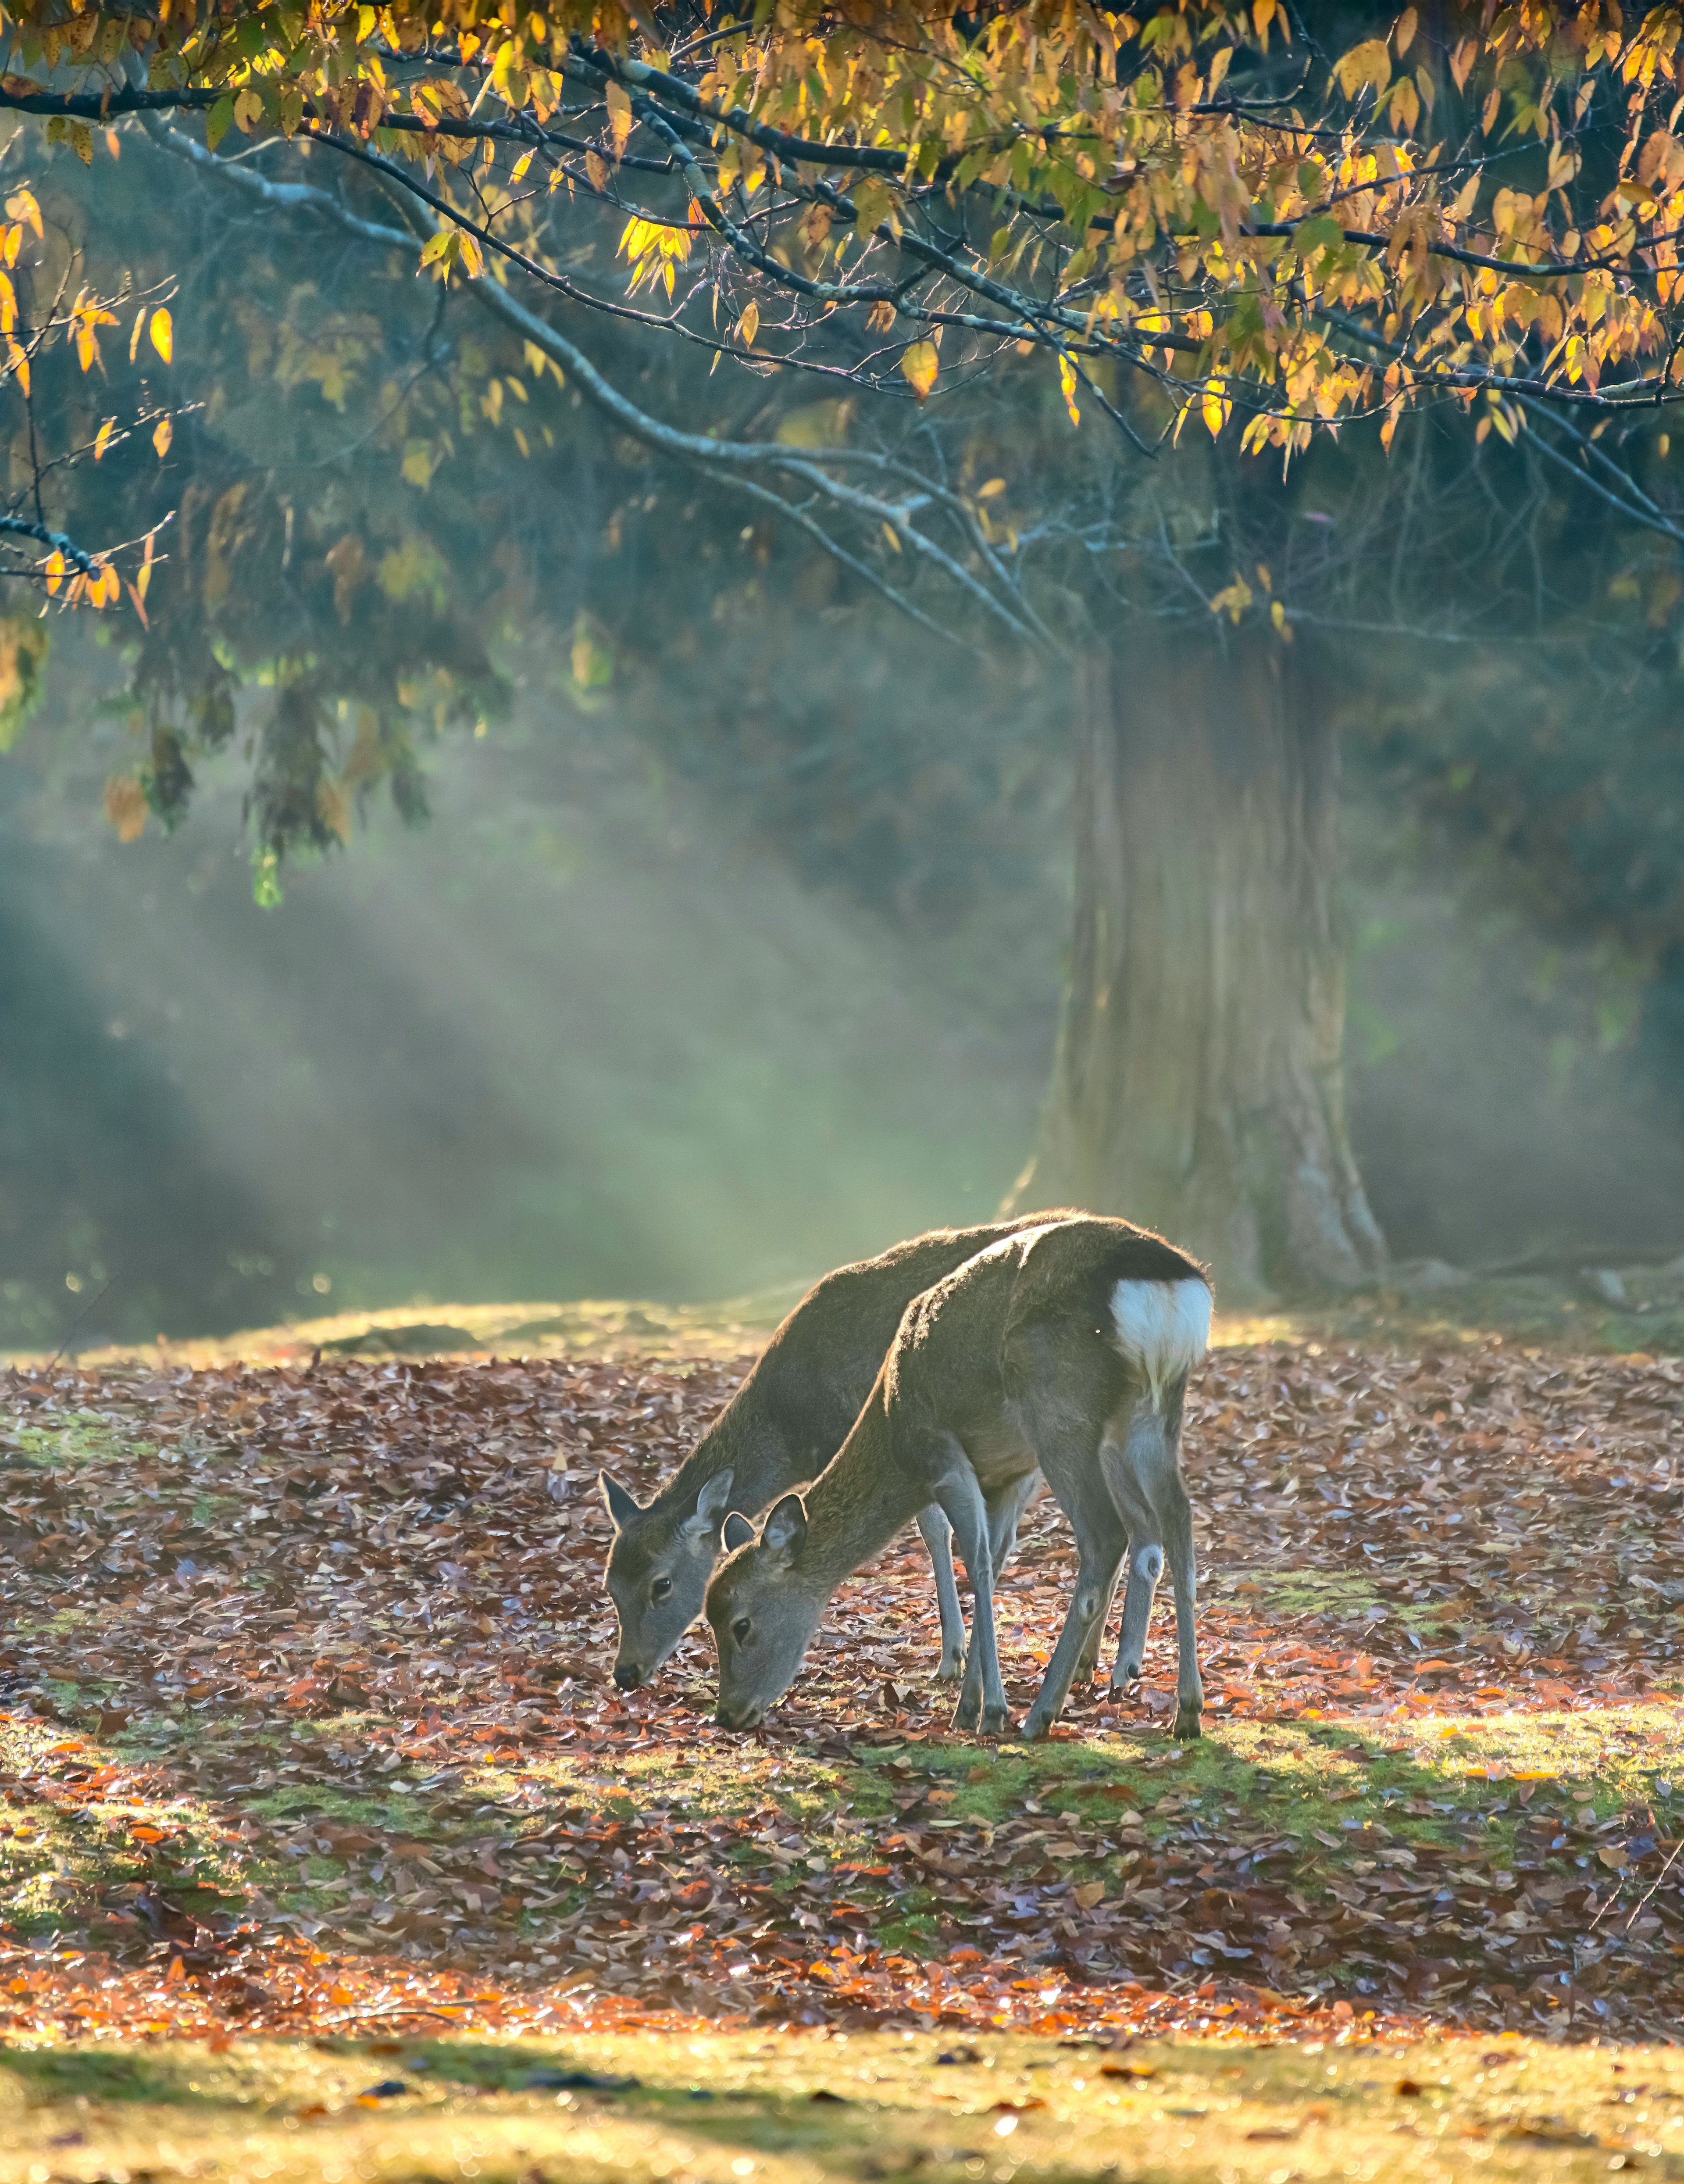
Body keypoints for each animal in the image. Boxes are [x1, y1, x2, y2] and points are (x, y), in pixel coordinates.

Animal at [707, 1223, 1214, 1747]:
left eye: (741, 1624)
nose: (726, 1714)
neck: (893, 1432)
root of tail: (1169, 1283)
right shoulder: (1008, 1474)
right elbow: (992, 1560)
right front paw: (974, 1702)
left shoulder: (945, 1459)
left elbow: (975, 1560)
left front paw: (982, 1708)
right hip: (1150, 1411)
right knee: (1179, 1516)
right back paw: (1187, 1709)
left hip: (1061, 1411)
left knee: (1107, 1535)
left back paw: (1042, 1712)